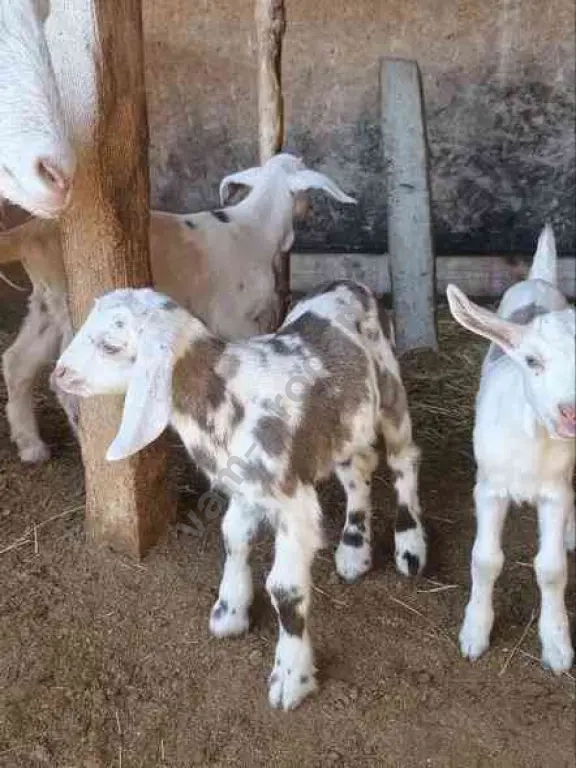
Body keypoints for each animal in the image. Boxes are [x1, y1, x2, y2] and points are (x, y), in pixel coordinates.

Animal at [1, 153, 355, 463]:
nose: (310, 210)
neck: (253, 230)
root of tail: (29, 234)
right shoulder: (233, 318)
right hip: (69, 308)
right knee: (62, 381)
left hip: (46, 303)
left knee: (17, 362)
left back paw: (31, 446)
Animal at [53, 279, 426, 710]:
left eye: (110, 345)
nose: (59, 373)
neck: (225, 397)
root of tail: (349, 283)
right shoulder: (245, 489)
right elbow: (233, 538)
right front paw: (230, 612)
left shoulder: (292, 502)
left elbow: (285, 589)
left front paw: (291, 677)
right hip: (345, 421)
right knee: (359, 469)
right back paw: (353, 549)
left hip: (391, 390)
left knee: (402, 460)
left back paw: (410, 546)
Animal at [447, 224, 575, 674]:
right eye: (531, 361)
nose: (571, 413)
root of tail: (538, 279)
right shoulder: (488, 488)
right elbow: (485, 559)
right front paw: (475, 632)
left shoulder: (556, 492)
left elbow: (551, 569)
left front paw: (556, 645)